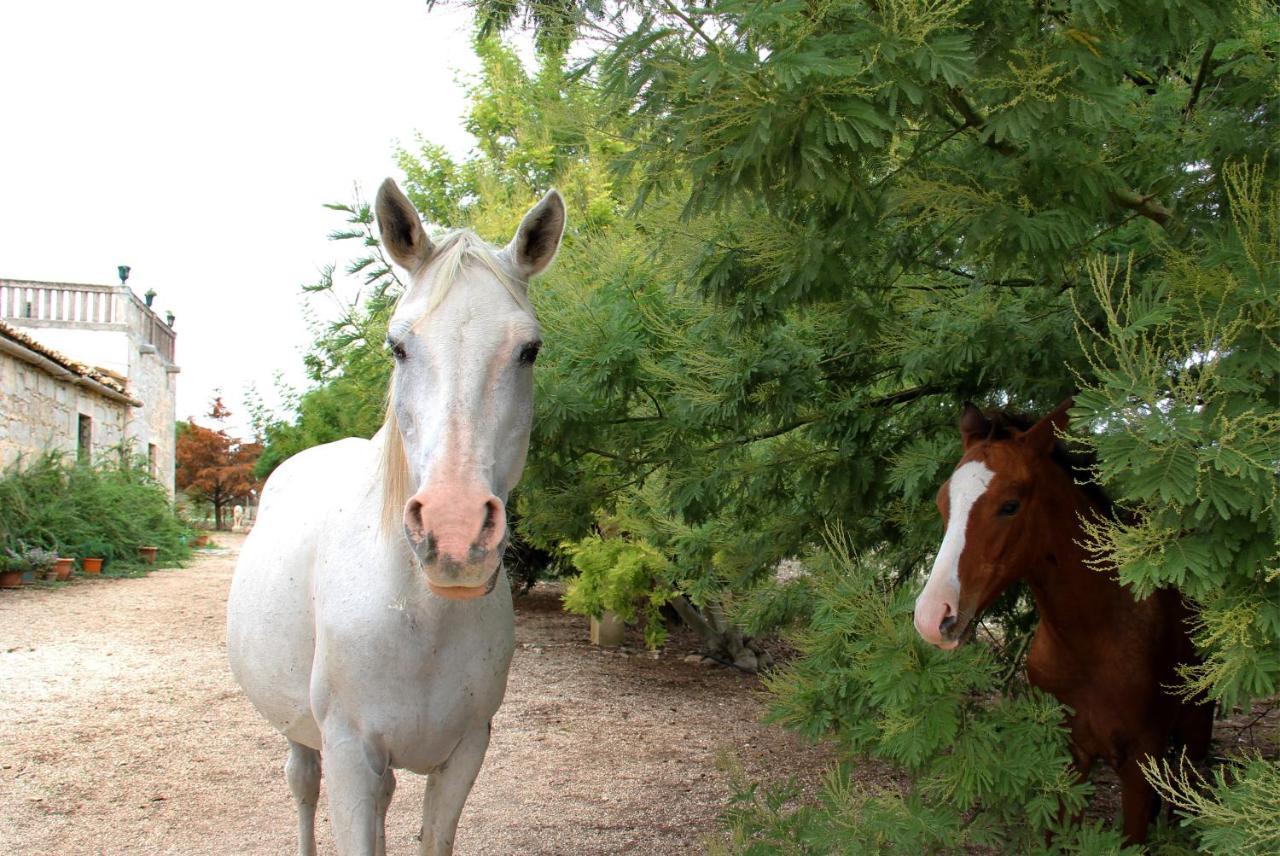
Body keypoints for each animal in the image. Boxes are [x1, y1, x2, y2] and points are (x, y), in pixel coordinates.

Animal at [226, 175, 565, 854]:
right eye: (398, 345)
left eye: (530, 350)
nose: (455, 533)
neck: (418, 617)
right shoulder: (350, 755)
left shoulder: (465, 754)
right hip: (302, 736)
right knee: (301, 786)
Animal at [911, 399, 1208, 839]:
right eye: (942, 502)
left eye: (1010, 505)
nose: (933, 617)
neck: (1096, 638)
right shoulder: (1065, 756)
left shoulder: (1140, 765)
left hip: (1197, 725)